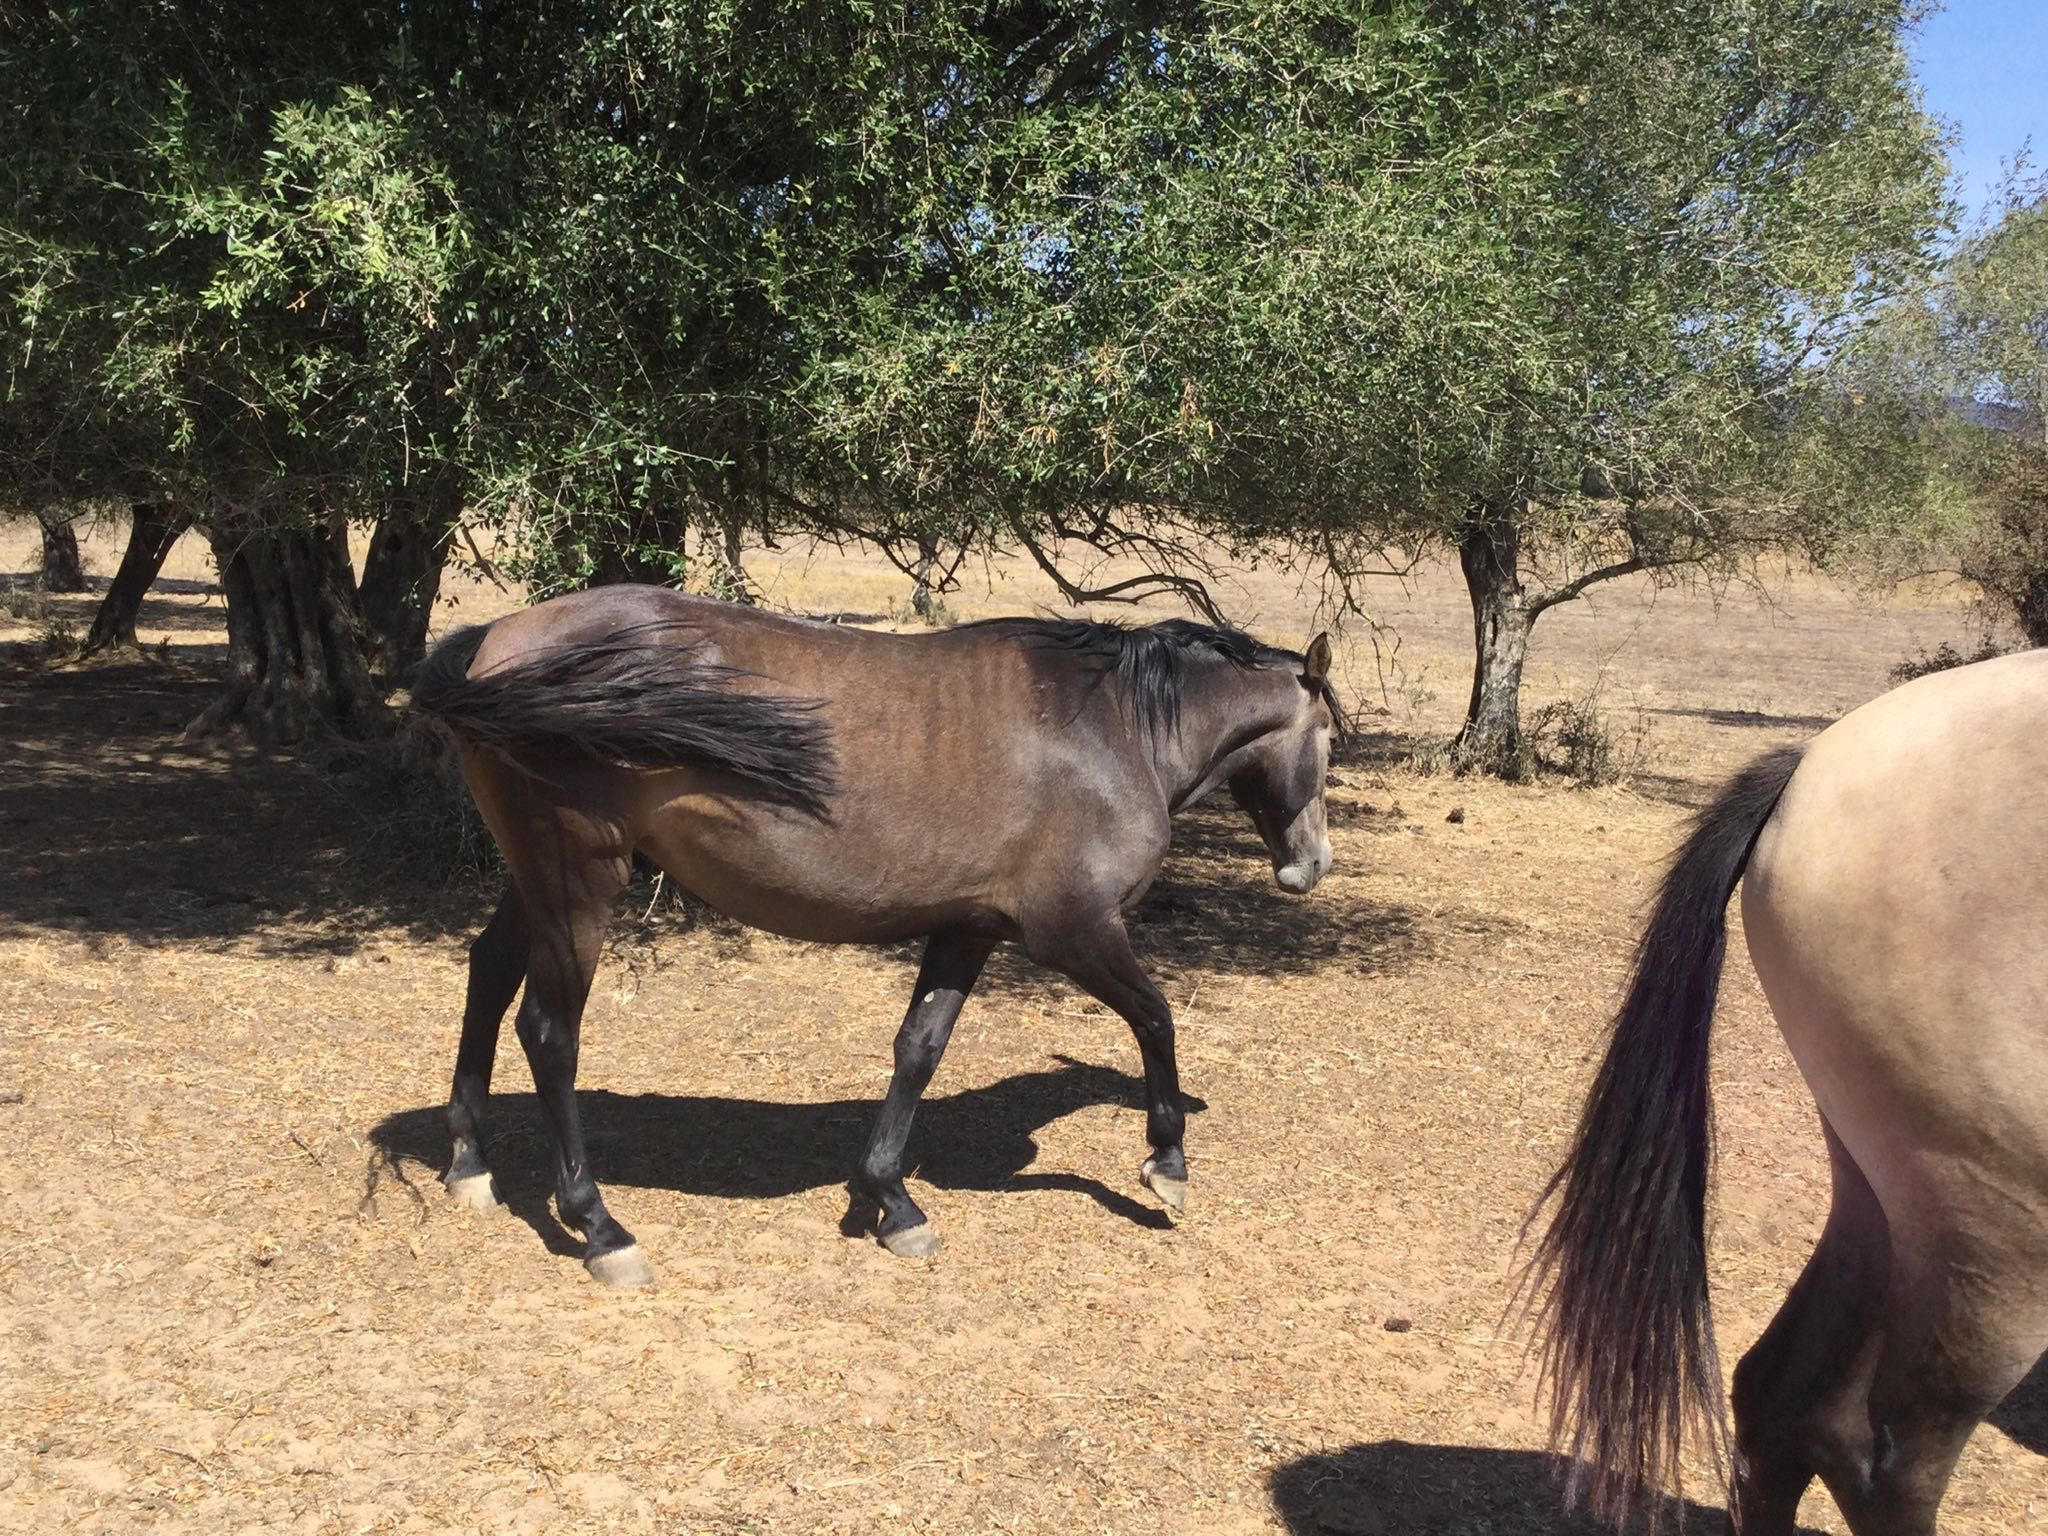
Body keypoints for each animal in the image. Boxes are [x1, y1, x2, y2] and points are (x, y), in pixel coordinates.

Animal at [415, 585, 1343, 1286]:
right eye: (1332, 739)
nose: (1311, 864)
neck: (1114, 727)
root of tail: (499, 642)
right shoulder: (1073, 931)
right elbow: (1156, 1018)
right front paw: (1167, 1162)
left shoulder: (969, 929)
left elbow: (918, 1049)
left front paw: (891, 1203)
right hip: (579, 879)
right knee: (549, 1033)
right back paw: (602, 1228)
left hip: (536, 878)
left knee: (487, 976)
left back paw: (469, 1163)